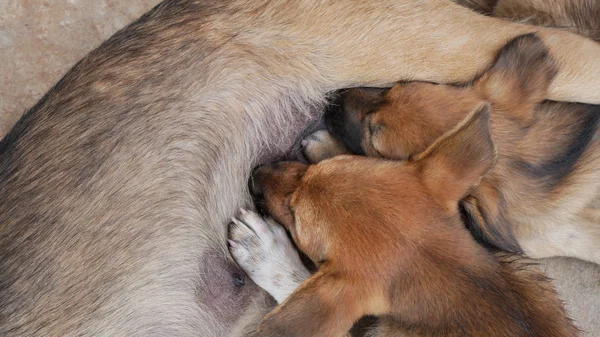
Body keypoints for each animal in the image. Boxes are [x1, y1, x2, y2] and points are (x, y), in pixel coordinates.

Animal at [229, 106, 576, 334]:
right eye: (311, 171)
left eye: (293, 216)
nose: (255, 174)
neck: (467, 285)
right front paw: (327, 145)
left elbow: (301, 291)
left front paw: (264, 250)